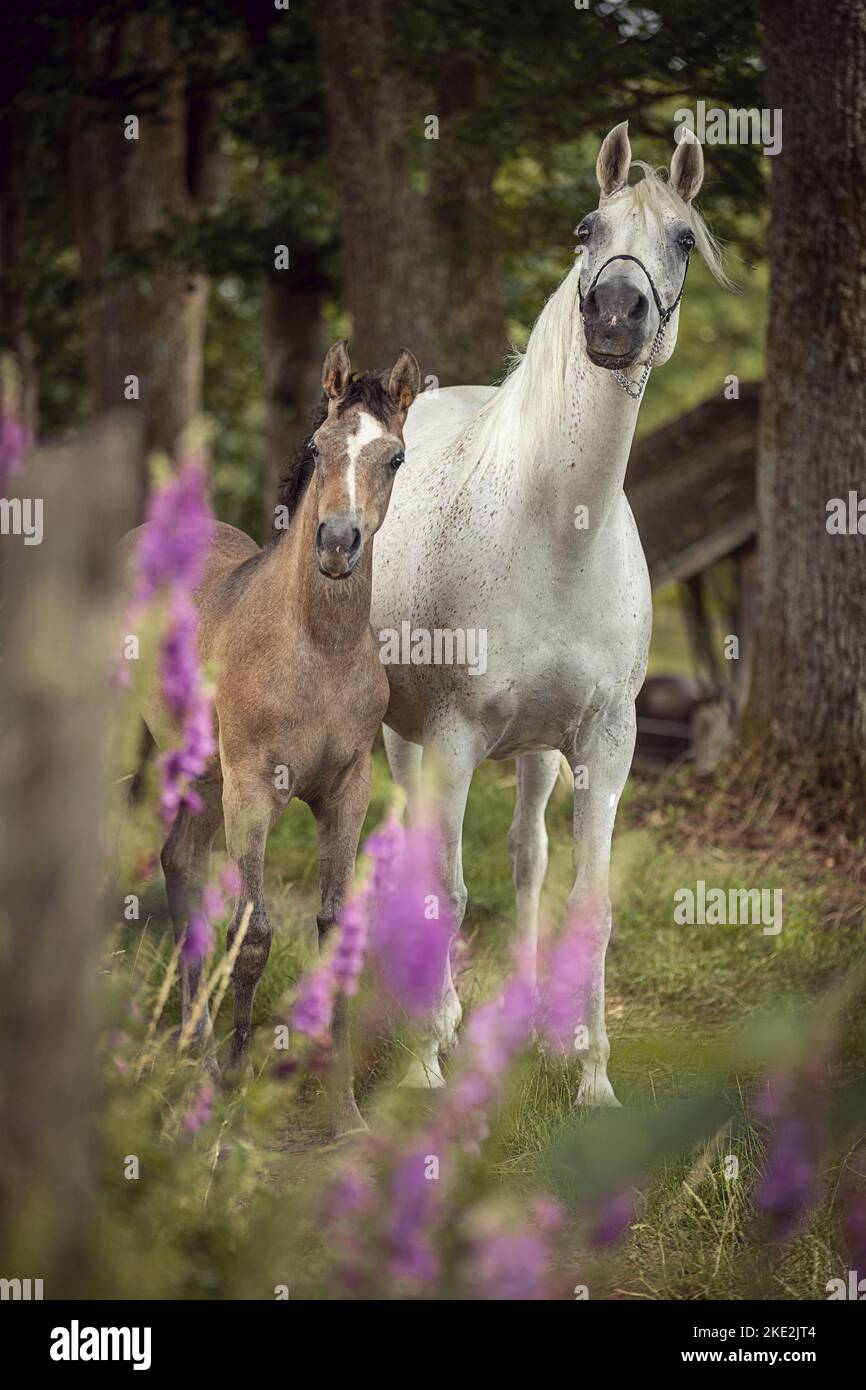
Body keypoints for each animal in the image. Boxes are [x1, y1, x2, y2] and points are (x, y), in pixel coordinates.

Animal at [123, 341, 420, 1136]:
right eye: (318, 447)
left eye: (395, 457)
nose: (338, 544)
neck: (315, 648)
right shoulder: (255, 789)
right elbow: (252, 935)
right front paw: (230, 1089)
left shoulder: (347, 792)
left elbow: (333, 931)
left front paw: (344, 1112)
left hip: (204, 776)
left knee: (178, 863)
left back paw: (190, 1041)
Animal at [371, 123, 727, 1103]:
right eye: (585, 230)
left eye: (684, 239)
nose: (615, 315)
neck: (556, 534)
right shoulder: (451, 738)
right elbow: (448, 894)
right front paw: (425, 1061)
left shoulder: (607, 744)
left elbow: (584, 903)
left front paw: (590, 1074)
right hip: (401, 737)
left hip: (534, 755)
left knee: (527, 859)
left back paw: (519, 1024)